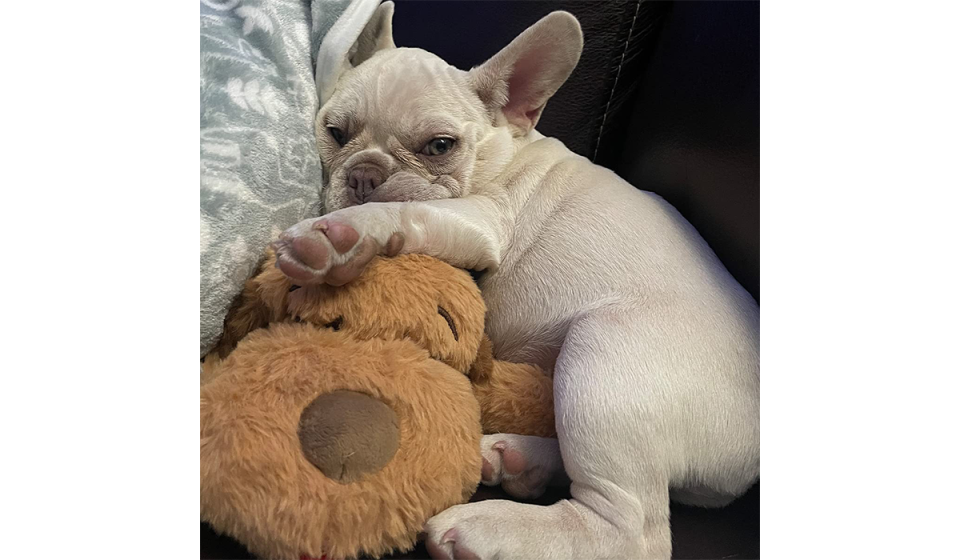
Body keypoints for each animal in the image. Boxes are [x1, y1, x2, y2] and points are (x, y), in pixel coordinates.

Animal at [274, 2, 760, 556]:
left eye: (439, 146)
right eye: (335, 133)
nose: (363, 175)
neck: (502, 152)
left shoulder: (483, 219)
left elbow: (407, 210)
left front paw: (338, 236)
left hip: (604, 354)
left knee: (629, 527)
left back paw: (487, 528)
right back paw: (518, 460)